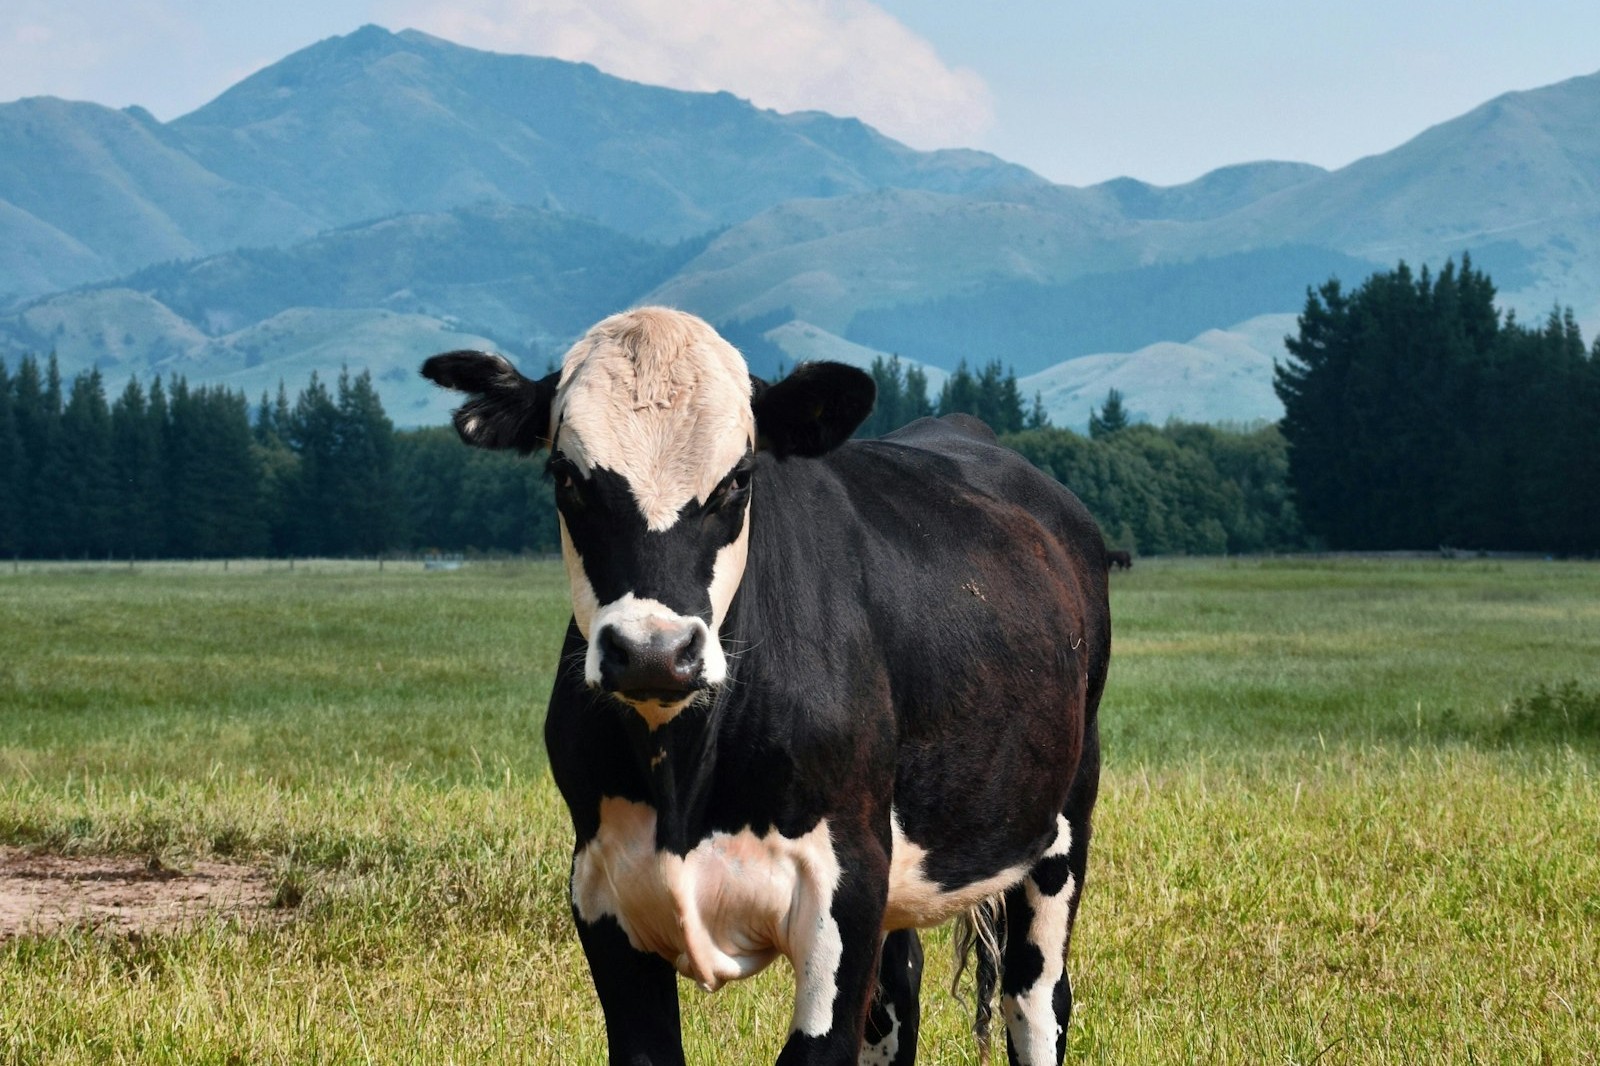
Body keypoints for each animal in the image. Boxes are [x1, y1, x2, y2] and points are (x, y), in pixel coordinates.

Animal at [421, 307, 1110, 1066]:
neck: (683, 781)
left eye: (738, 478)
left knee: (1036, 999)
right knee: (899, 995)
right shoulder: (602, 892)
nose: (655, 653)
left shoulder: (845, 889)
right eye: (566, 475)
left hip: (1060, 827)